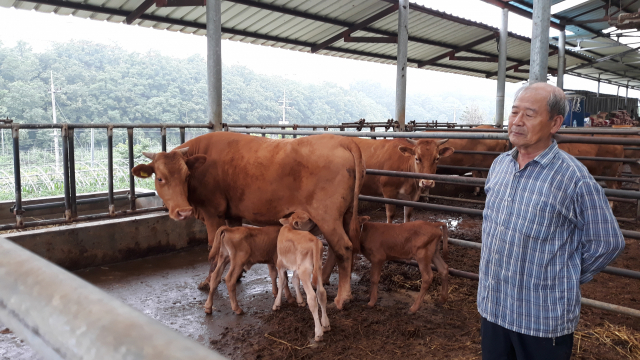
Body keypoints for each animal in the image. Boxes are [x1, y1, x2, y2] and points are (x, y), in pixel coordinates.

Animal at [132, 132, 364, 310]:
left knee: (343, 248)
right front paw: (238, 274)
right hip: (342, 216)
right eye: (160, 178)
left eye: (187, 176)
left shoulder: (213, 212)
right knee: (339, 248)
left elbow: (213, 248)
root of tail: (342, 140)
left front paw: (208, 281)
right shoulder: (232, 214)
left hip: (327, 216)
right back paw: (324, 281)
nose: (183, 211)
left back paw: (342, 298)